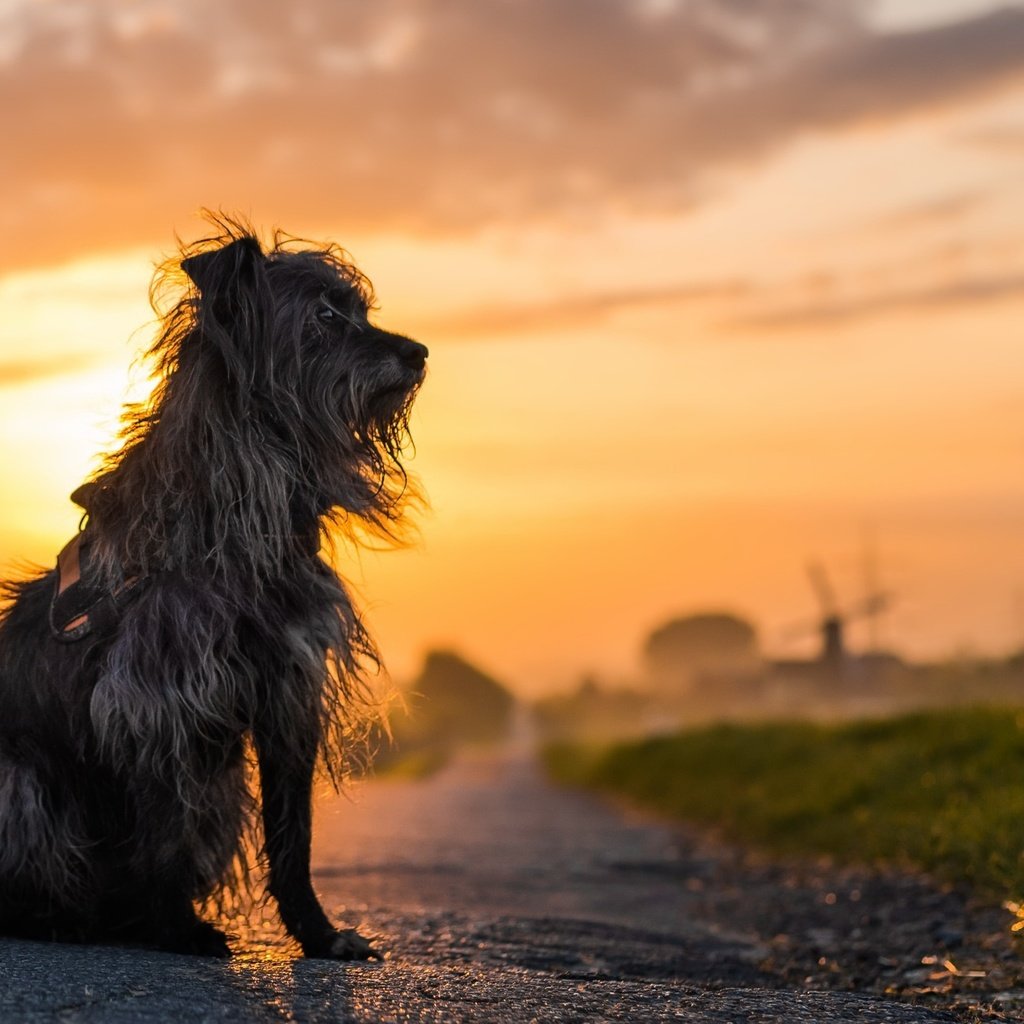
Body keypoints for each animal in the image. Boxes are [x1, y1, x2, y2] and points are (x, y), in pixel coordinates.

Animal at [0, 216, 428, 958]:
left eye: (360, 311)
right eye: (324, 316)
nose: (420, 353)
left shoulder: (289, 691)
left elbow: (292, 837)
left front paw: (318, 935)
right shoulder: (159, 699)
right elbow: (166, 827)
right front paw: (176, 926)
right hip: (22, 775)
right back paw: (57, 916)